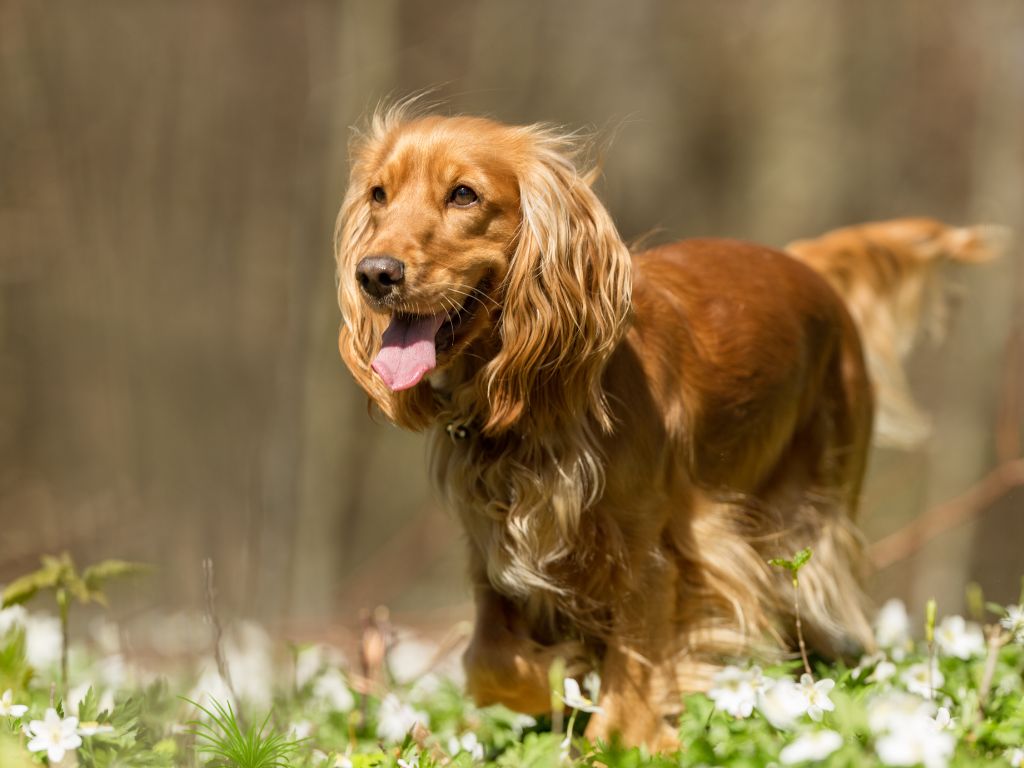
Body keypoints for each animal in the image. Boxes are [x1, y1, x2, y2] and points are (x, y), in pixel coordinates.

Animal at [333, 105, 999, 749]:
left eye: (464, 195)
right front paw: (563, 672)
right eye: (379, 195)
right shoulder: (492, 557)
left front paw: (627, 736)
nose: (374, 274)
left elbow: (630, 686)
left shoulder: (651, 557)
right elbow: (495, 664)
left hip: (807, 525)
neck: (533, 407)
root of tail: (804, 262)